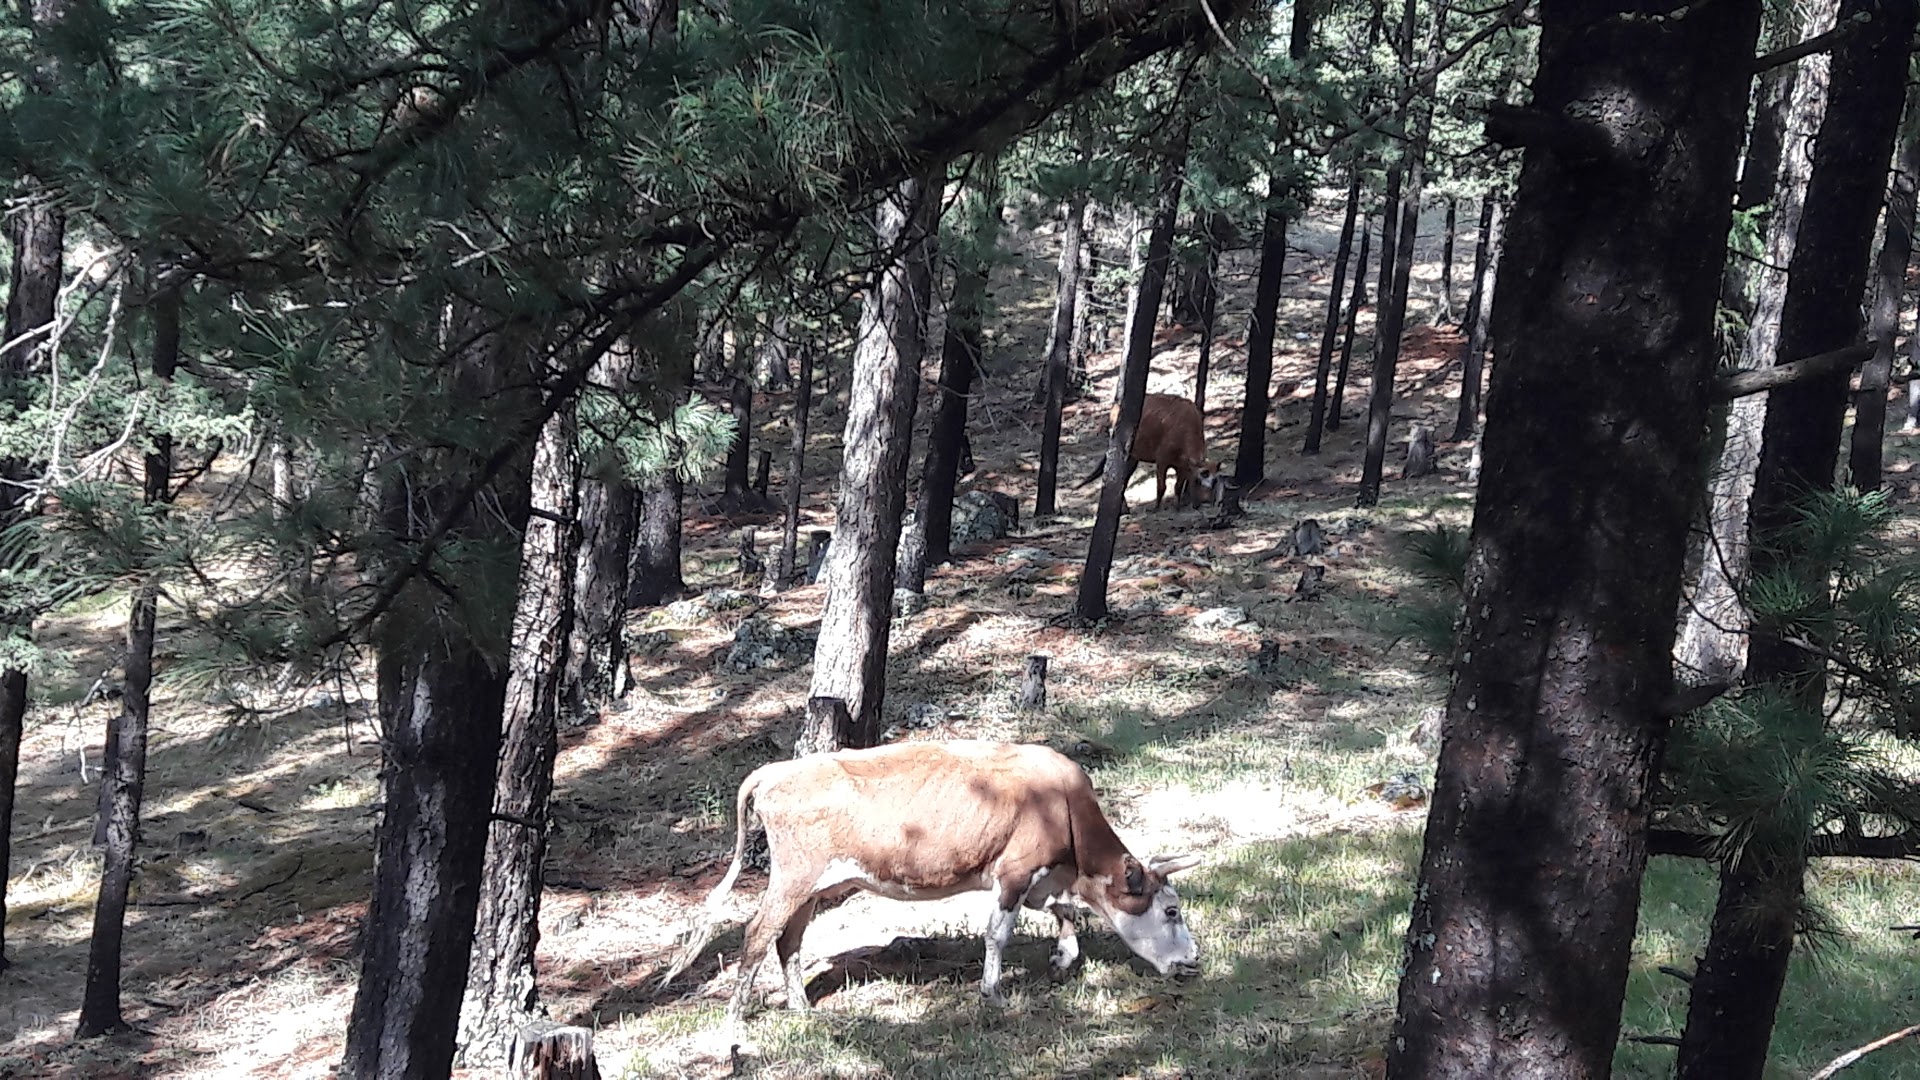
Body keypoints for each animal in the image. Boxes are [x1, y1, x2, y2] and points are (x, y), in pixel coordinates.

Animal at [658, 741, 1202, 1018]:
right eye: (1171, 910)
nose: (1194, 961)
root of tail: (776, 770)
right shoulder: (1014, 870)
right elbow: (997, 934)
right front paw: (993, 993)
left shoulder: (1042, 876)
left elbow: (1063, 910)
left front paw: (1063, 957)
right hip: (794, 874)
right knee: (755, 935)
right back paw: (736, 1023)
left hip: (812, 886)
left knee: (787, 940)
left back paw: (801, 1009)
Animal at [1076, 392, 1221, 510]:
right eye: (1199, 480)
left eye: (1215, 482)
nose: (1200, 504)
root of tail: (1114, 409)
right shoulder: (1162, 461)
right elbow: (1161, 486)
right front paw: (1156, 508)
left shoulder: (1183, 467)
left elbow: (1178, 487)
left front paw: (1177, 507)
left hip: (1133, 457)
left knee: (1123, 481)